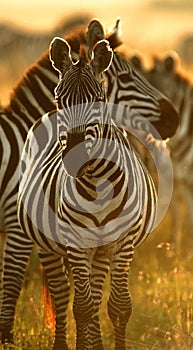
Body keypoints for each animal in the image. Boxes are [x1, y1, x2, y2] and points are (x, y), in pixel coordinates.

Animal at [0, 18, 179, 348]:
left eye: (99, 98)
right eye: (59, 99)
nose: (172, 118)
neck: (98, 183)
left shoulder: (122, 242)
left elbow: (118, 306)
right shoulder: (39, 233)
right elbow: (77, 305)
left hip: (99, 249)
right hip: (50, 242)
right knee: (62, 294)